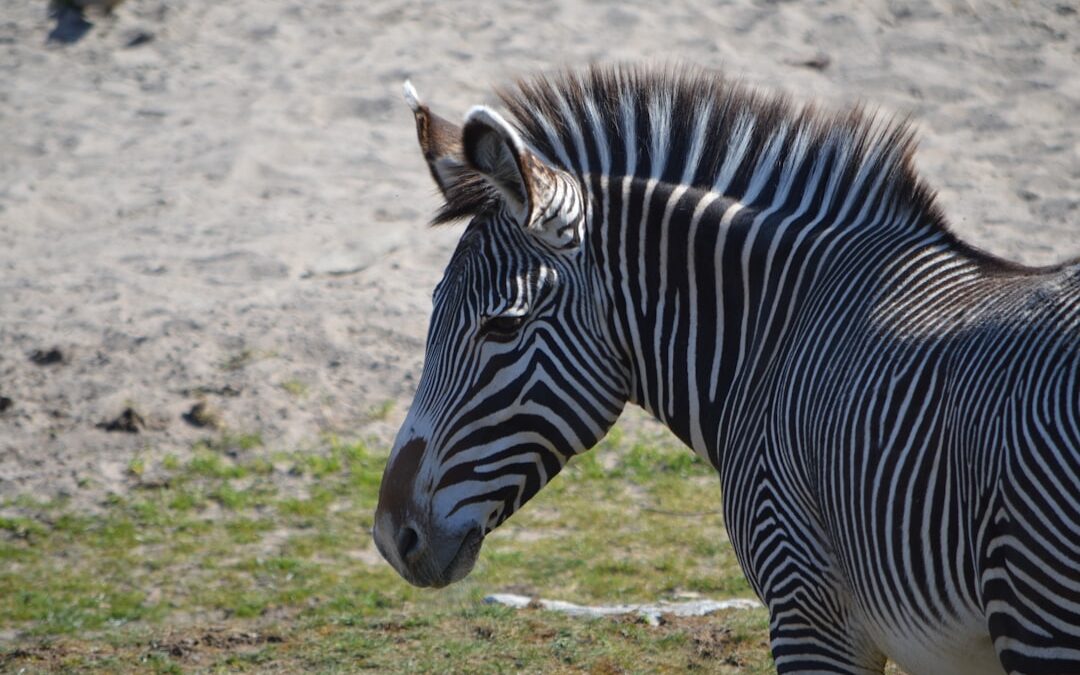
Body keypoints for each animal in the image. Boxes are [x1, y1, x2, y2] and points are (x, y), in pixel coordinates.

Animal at [372, 65, 1080, 675]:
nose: (388, 537)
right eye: (432, 309)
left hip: (1038, 610)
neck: (776, 337)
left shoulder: (808, 609)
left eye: (503, 327)